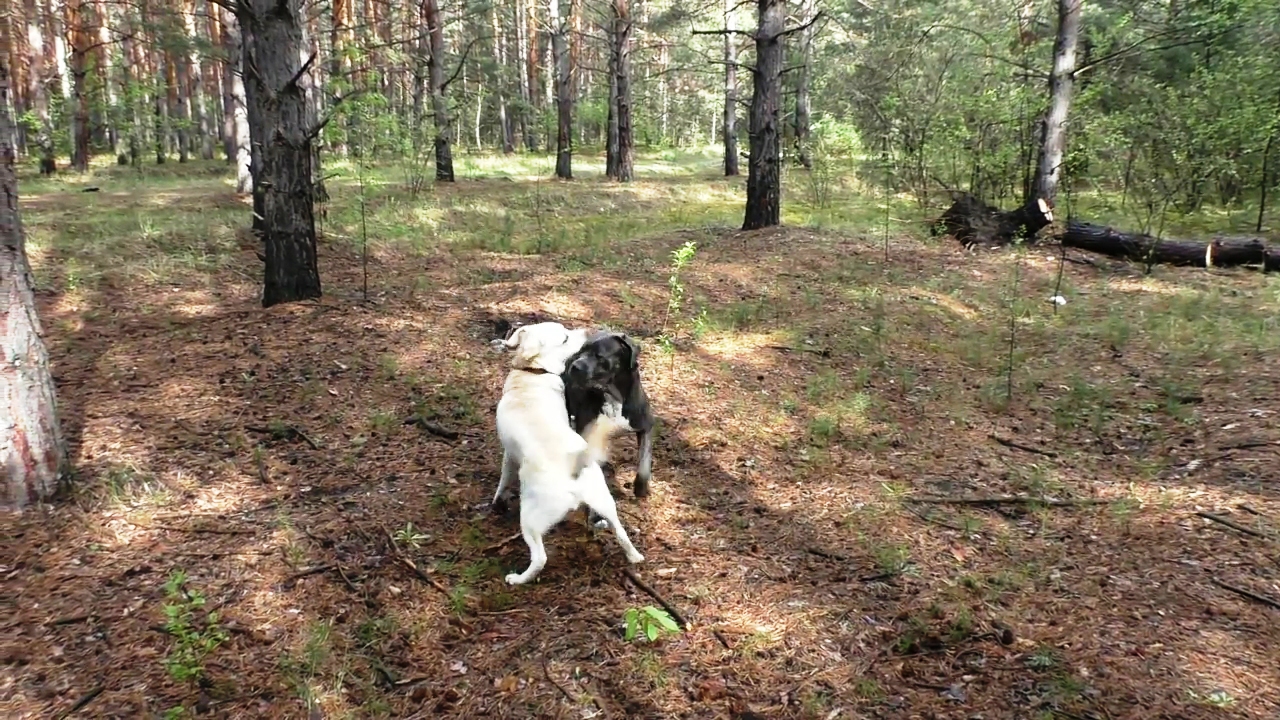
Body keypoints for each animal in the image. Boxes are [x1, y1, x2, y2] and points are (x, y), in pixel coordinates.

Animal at [491, 319, 645, 584]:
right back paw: (634, 556)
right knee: (620, 531)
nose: (586, 333)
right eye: (564, 337)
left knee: (540, 558)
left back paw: (518, 578)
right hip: (605, 502)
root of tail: (575, 469)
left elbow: (503, 480)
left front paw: (496, 501)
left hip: (529, 520)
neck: (533, 373)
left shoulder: (508, 455)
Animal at [563, 327, 655, 497]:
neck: (614, 397)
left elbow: (645, 461)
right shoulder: (588, 433)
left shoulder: (646, 426)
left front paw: (641, 487)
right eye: (581, 351)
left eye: (599, 355)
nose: (574, 365)